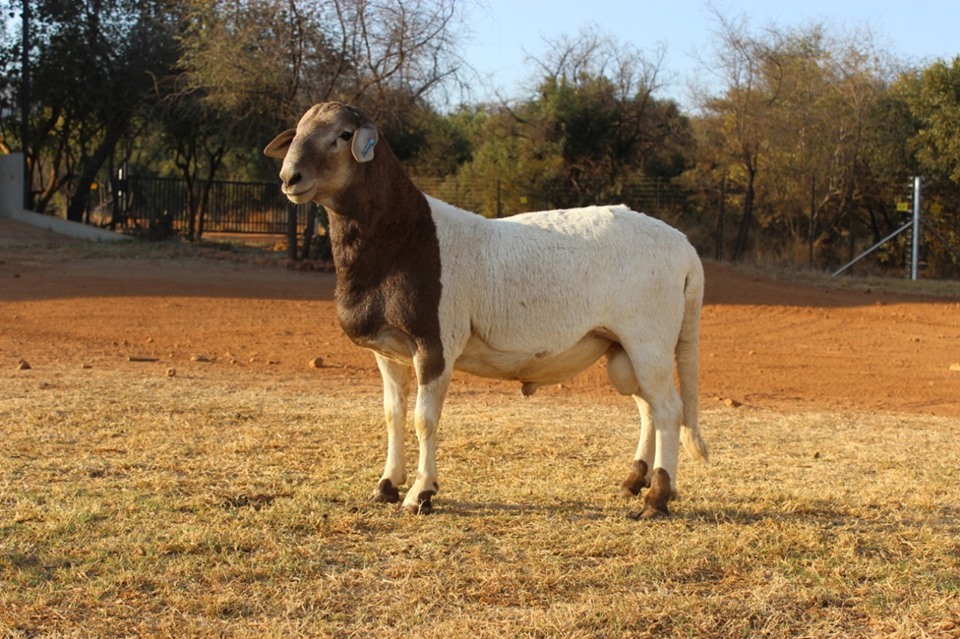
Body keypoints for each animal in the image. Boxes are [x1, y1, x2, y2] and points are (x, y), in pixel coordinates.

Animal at [264, 102, 707, 518]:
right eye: (298, 132)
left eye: (343, 135)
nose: (289, 178)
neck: (405, 238)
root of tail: (686, 250)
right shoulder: (387, 351)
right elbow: (393, 415)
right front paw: (387, 485)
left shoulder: (435, 345)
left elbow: (424, 419)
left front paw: (420, 494)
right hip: (622, 348)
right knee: (648, 408)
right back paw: (634, 480)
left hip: (648, 339)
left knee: (669, 411)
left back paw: (657, 498)